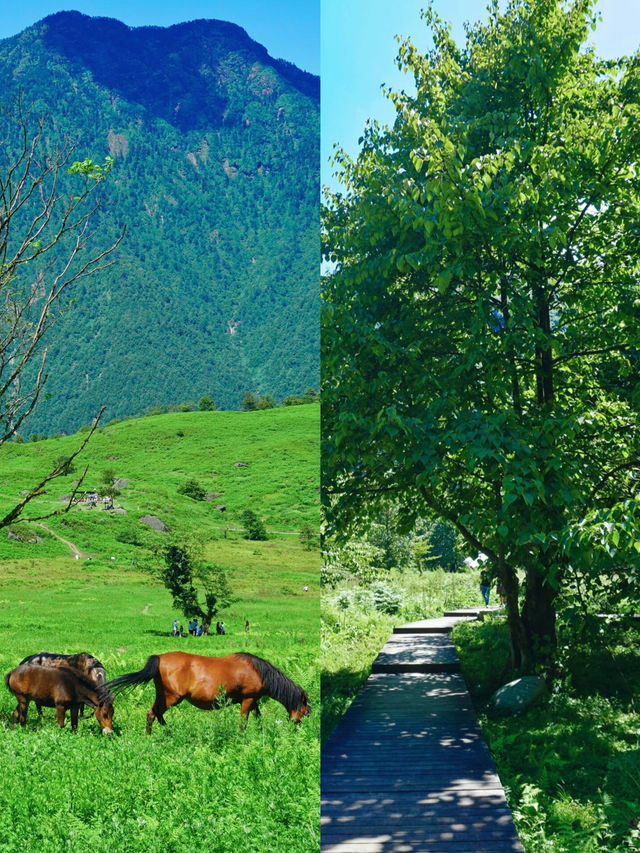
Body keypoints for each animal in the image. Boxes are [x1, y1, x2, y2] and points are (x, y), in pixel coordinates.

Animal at [106, 652, 312, 732]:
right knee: (154, 713)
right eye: (303, 712)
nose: (296, 731)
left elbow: (258, 718)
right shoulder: (248, 699)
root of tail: (159, 658)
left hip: (163, 695)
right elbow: (243, 722)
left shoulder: (252, 701)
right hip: (172, 697)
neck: (258, 671)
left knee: (155, 713)